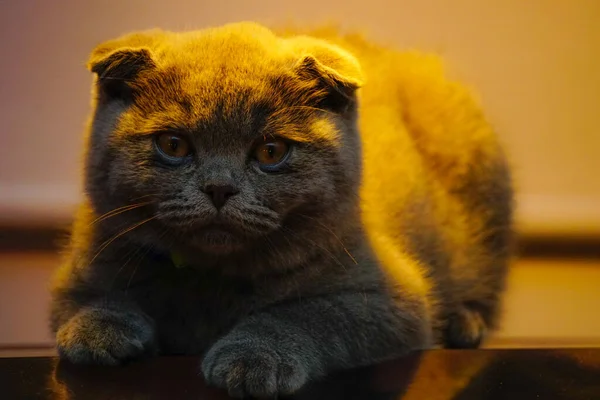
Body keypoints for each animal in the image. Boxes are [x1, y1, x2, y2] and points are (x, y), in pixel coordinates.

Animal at [49, 21, 512, 396]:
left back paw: (465, 325)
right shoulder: (80, 267)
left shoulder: (394, 301)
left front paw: (253, 358)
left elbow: (310, 312)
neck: (213, 284)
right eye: (173, 145)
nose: (219, 188)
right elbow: (86, 300)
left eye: (271, 151)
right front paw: (100, 331)